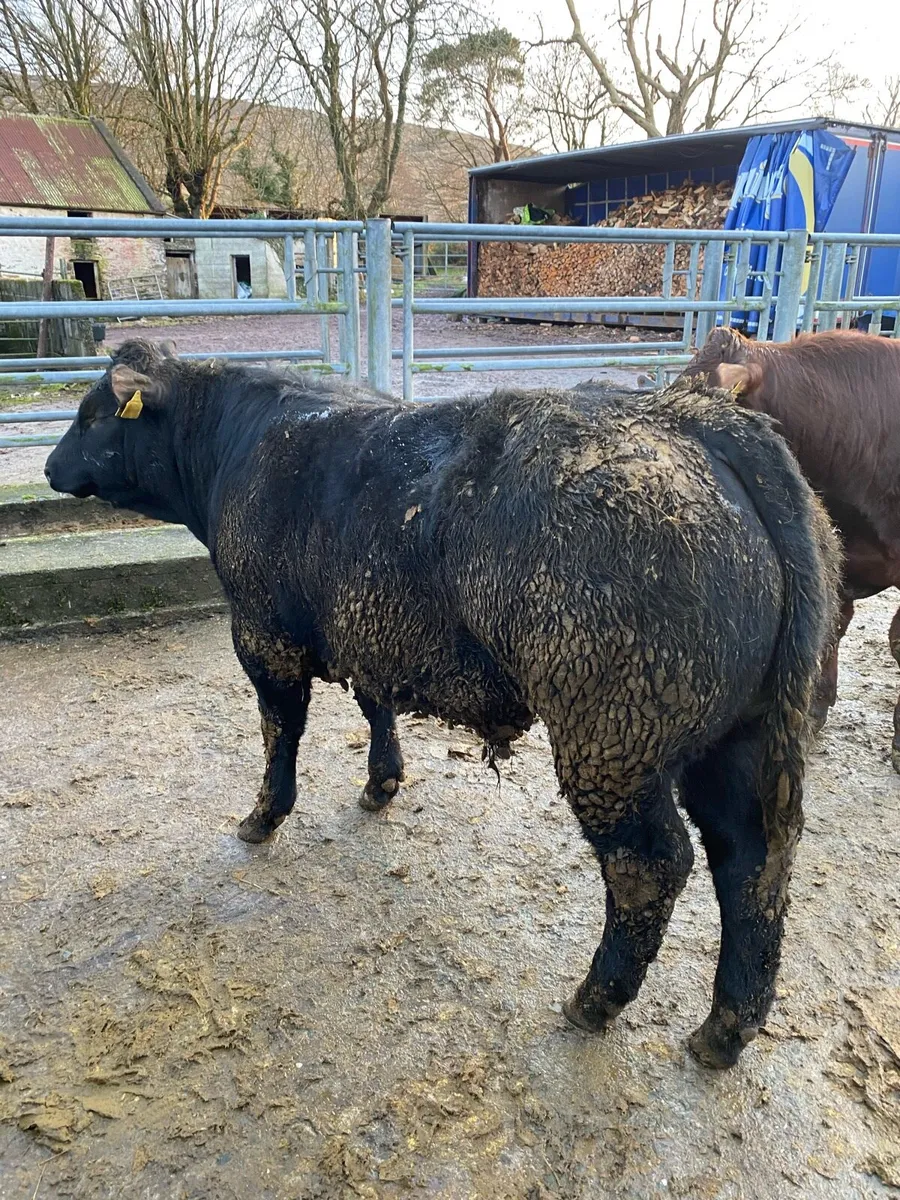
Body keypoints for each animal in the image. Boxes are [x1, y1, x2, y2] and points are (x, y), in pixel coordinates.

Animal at [45, 340, 839, 1069]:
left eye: (91, 413)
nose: (51, 467)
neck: (239, 441)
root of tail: (692, 420)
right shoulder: (369, 628)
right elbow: (375, 704)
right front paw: (382, 782)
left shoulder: (263, 635)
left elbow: (281, 731)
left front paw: (263, 817)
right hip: (739, 737)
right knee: (752, 858)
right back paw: (726, 1028)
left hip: (613, 739)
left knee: (651, 865)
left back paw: (596, 1000)